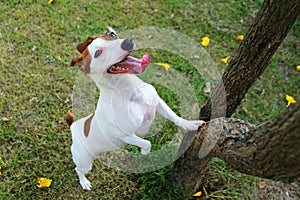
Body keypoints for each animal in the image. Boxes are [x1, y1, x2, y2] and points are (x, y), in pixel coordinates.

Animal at [67, 27, 205, 190]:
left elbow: (175, 118)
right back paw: (84, 182)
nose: (128, 41)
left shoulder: (158, 102)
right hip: (84, 160)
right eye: (98, 53)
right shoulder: (125, 135)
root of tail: (74, 125)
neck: (130, 91)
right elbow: (146, 143)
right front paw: (145, 153)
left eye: (111, 34)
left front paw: (190, 125)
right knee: (78, 169)